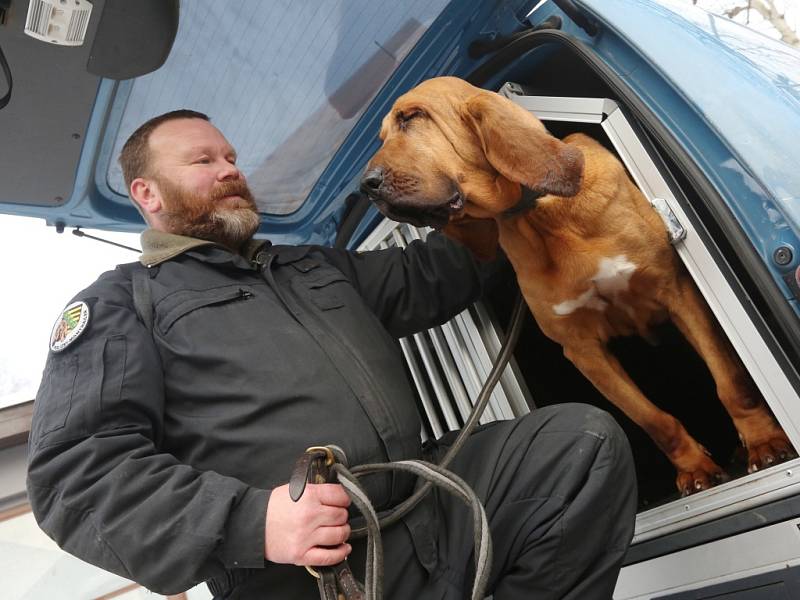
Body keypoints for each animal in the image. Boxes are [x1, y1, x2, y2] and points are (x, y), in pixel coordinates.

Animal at [360, 76, 792, 496]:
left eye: (412, 117)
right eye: (382, 135)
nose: (367, 185)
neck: (540, 217)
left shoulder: (678, 291)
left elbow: (731, 382)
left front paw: (763, 441)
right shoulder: (583, 349)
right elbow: (654, 420)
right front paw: (694, 468)